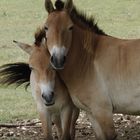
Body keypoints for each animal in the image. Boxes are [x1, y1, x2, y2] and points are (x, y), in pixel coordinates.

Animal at [42, 0, 140, 139]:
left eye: (70, 27)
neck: (88, 61)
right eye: (46, 27)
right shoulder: (91, 114)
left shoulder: (103, 112)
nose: (58, 59)